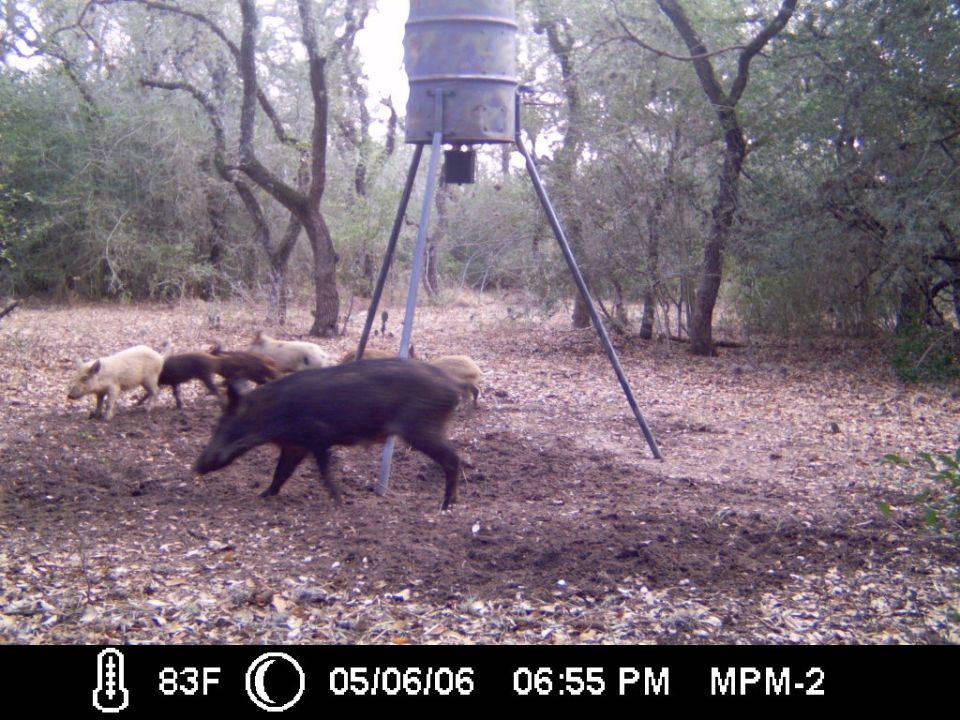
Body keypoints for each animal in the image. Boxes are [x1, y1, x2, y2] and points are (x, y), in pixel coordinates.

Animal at [194, 358, 463, 509]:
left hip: (421, 428)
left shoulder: (317, 438)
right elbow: (280, 473)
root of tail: (454, 387)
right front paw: (262, 495)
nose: (196, 466)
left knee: (453, 459)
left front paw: (338, 501)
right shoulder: (295, 445)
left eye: (222, 423)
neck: (272, 413)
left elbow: (323, 471)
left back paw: (445, 506)